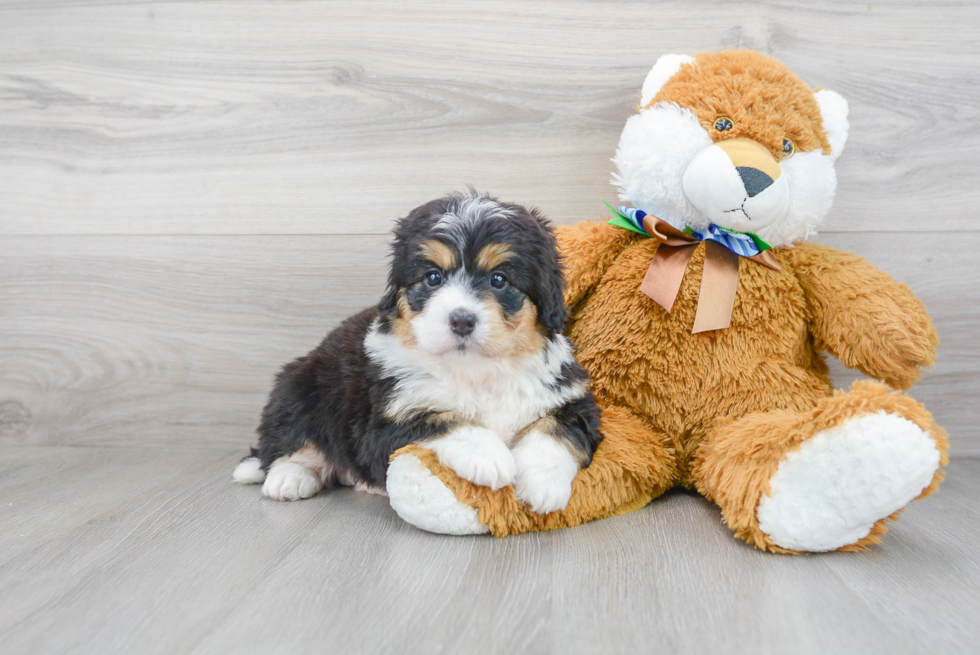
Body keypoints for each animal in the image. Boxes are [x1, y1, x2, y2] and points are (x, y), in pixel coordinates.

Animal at [235, 192, 604, 516]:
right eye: (433, 277)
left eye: (499, 280)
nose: (461, 320)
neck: (476, 371)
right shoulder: (386, 420)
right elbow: (442, 417)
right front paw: (489, 456)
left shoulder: (572, 401)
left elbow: (554, 430)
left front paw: (543, 486)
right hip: (299, 387)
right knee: (290, 444)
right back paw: (288, 478)